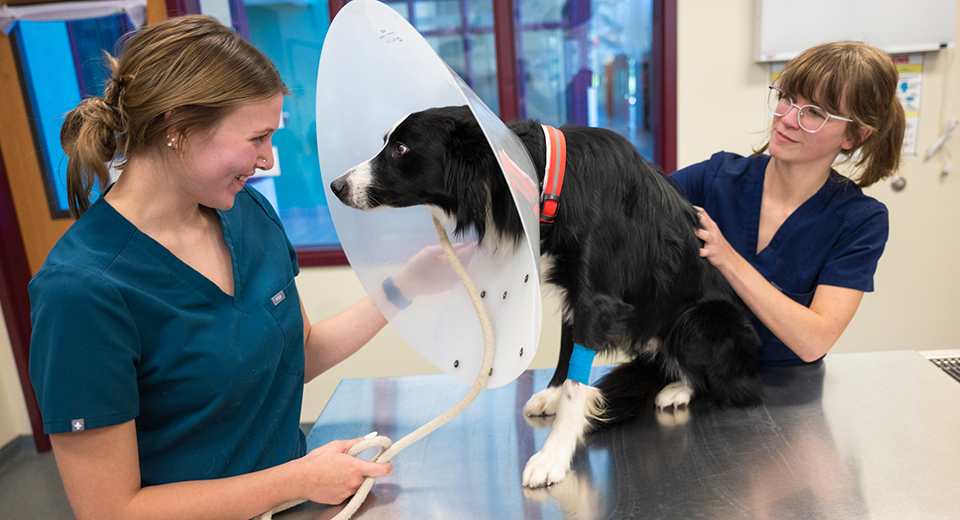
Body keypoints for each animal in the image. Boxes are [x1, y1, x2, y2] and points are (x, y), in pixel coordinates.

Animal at [332, 104, 764, 488]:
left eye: (401, 148)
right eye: (388, 143)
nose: (336, 186)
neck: (548, 180)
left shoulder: (595, 299)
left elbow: (577, 383)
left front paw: (553, 455)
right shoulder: (574, 295)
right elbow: (567, 351)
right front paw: (552, 396)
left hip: (698, 321)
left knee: (716, 380)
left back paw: (678, 389)